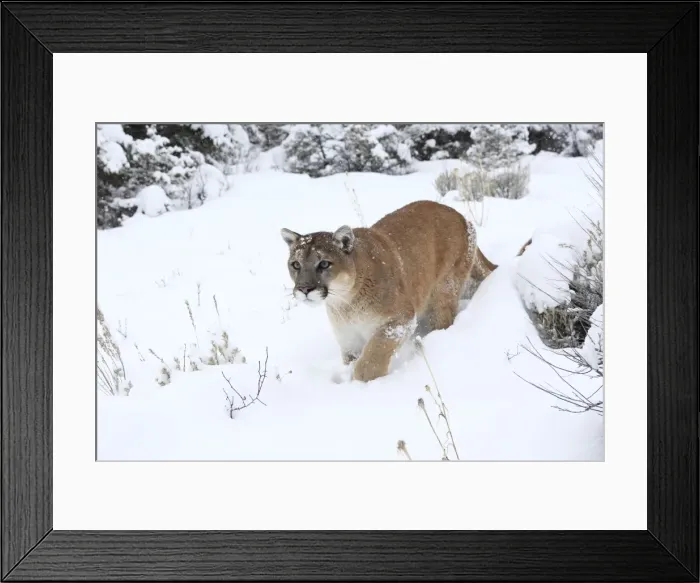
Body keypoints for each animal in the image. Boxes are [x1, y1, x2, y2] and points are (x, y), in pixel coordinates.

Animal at [280, 200, 499, 382]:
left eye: (324, 264)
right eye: (296, 264)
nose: (304, 288)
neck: (345, 303)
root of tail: (461, 216)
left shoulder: (400, 320)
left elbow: (374, 353)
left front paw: (363, 380)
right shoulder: (349, 340)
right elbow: (354, 359)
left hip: (444, 291)